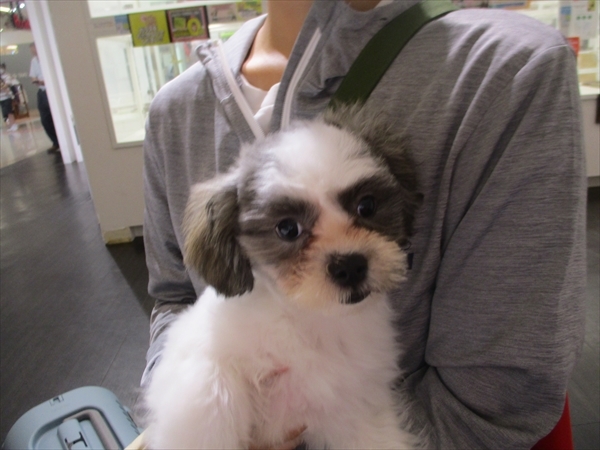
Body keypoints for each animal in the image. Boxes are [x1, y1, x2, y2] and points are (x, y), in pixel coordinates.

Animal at [144, 106, 424, 449]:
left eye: (367, 205)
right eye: (288, 228)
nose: (350, 266)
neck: (305, 320)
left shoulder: (353, 404)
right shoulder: (199, 361)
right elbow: (213, 397)